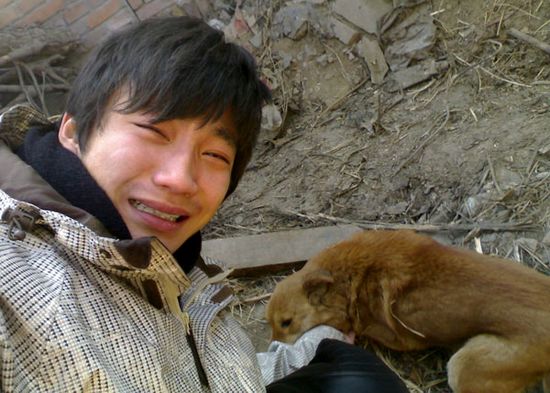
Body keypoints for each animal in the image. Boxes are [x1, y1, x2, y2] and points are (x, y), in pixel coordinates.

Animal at [268, 228, 550, 392]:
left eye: (286, 322)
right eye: (270, 323)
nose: (273, 348)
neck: (345, 278)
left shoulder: (402, 338)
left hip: (464, 368)